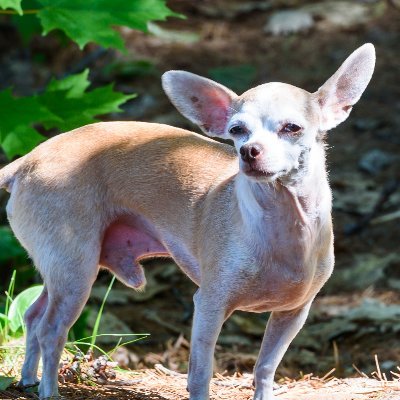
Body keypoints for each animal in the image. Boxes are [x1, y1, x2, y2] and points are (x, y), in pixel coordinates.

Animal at [0, 43, 376, 400]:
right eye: (237, 131)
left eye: (292, 128)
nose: (248, 151)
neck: (283, 226)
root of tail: (27, 161)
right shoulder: (209, 304)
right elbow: (200, 373)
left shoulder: (293, 313)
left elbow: (265, 368)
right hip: (75, 272)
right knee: (51, 331)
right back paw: (49, 390)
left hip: (62, 272)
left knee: (32, 316)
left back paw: (28, 380)